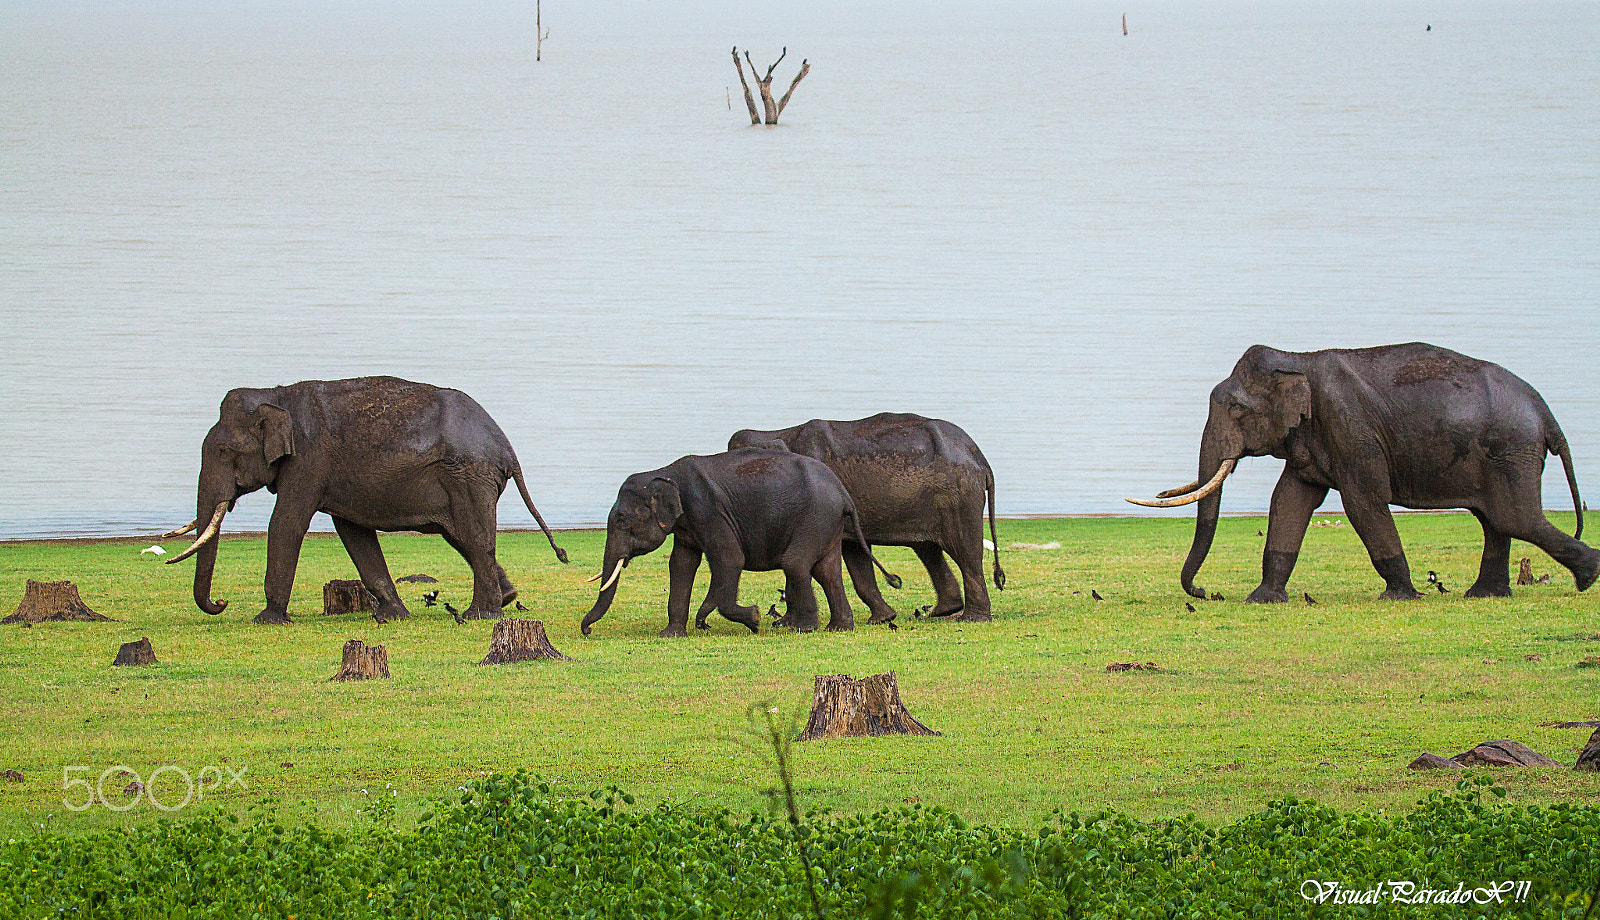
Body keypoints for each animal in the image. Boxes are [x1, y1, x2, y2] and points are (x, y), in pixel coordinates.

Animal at [160, 376, 569, 627]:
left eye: (224, 452)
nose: (221, 603)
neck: (275, 395)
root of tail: (507, 449)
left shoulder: (309, 461)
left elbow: (287, 523)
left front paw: (267, 620)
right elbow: (353, 532)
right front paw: (392, 616)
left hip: (468, 476)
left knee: (473, 535)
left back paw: (478, 616)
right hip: (467, 480)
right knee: (462, 537)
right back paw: (506, 598)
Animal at [576, 448, 902, 640]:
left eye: (621, 519)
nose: (587, 630)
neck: (664, 472)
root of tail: (844, 494)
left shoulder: (708, 511)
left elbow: (729, 559)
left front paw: (753, 619)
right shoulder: (687, 523)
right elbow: (681, 565)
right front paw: (672, 634)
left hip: (816, 517)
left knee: (796, 564)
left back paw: (801, 628)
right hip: (827, 523)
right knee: (826, 570)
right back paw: (837, 627)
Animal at [732, 412, 1004, 624]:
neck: (778, 433)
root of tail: (980, 458)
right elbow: (854, 554)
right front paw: (883, 619)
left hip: (957, 495)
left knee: (964, 551)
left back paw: (971, 619)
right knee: (928, 549)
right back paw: (945, 611)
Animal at [1126, 345, 1600, 604]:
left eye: (1238, 409)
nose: (1208, 593)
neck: (1298, 358)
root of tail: (1546, 412)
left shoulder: (1350, 427)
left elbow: (1362, 501)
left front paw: (1399, 595)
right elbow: (1290, 500)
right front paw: (1262, 600)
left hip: (1511, 450)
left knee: (1513, 517)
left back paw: (1588, 577)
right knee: (1495, 520)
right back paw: (1485, 594)